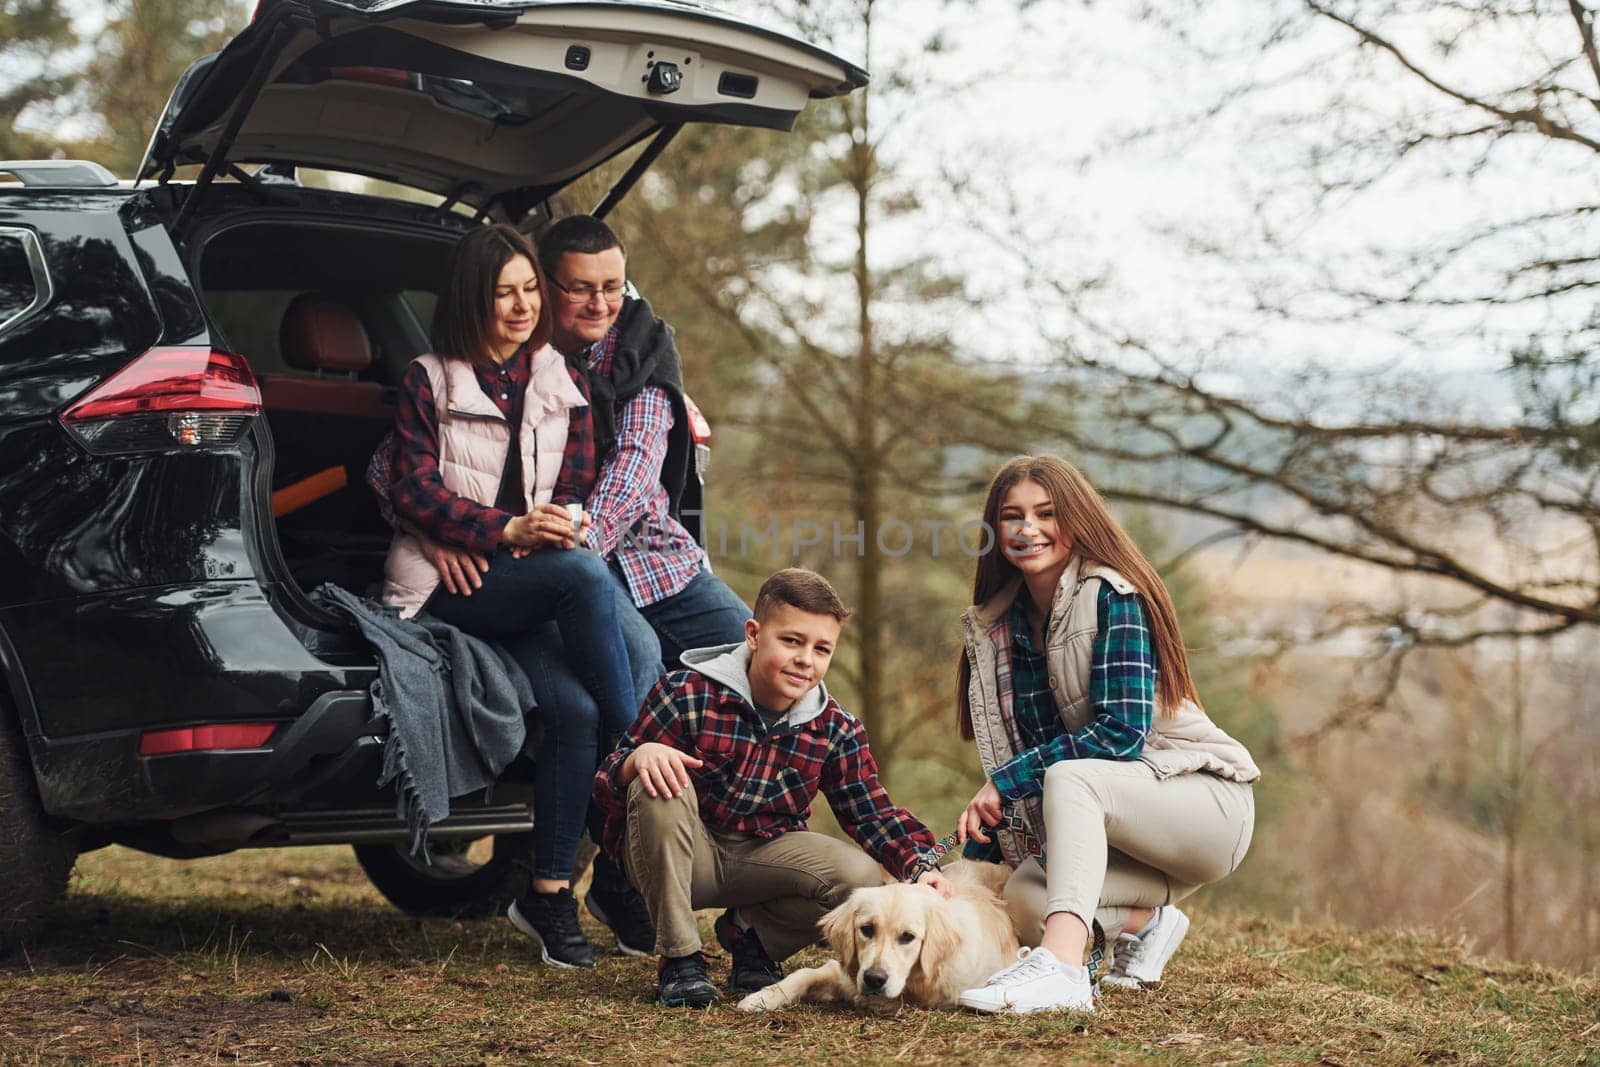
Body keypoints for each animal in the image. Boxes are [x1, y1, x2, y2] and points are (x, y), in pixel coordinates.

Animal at [732, 857, 1017, 1011]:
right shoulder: (849, 970)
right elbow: (803, 974)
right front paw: (761, 997)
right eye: (867, 929)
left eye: (908, 937)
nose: (874, 979)